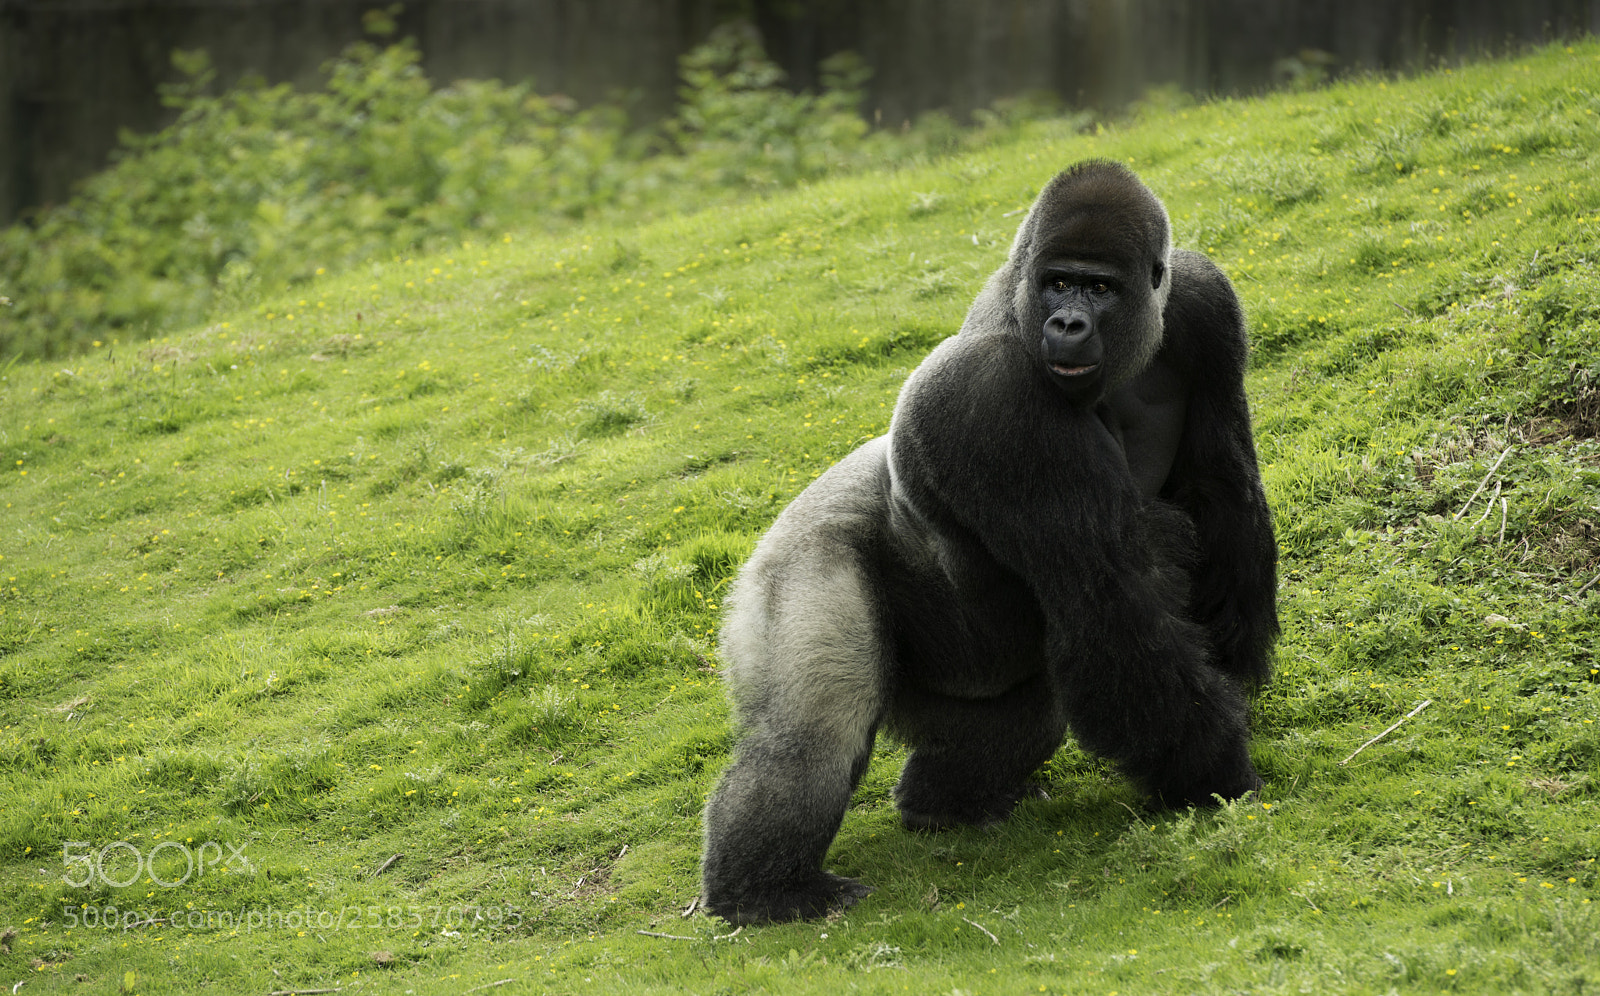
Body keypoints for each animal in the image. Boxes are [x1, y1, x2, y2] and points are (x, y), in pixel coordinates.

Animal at [701, 159, 1278, 925]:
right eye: (1058, 282)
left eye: (1099, 288)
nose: (1067, 322)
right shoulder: (995, 398)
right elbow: (1114, 600)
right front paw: (1212, 774)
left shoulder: (1203, 302)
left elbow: (1221, 488)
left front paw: (1236, 666)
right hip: (796, 563)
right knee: (812, 737)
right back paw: (765, 890)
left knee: (1020, 709)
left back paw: (948, 802)